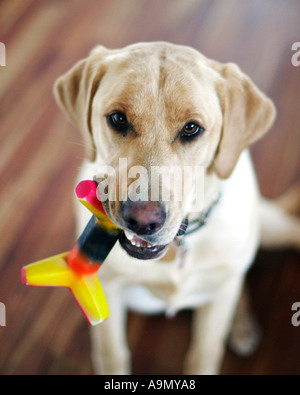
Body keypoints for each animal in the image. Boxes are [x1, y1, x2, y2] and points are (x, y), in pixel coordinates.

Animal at [53, 41, 300, 376]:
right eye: (118, 119)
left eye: (192, 128)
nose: (142, 221)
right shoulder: (108, 294)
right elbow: (113, 355)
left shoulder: (212, 319)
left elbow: (203, 355)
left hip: (270, 230)